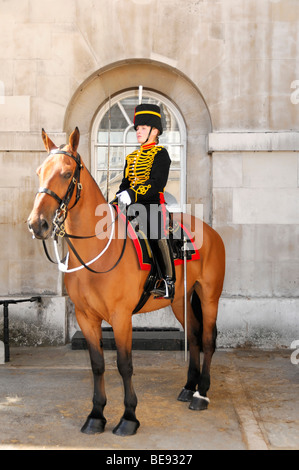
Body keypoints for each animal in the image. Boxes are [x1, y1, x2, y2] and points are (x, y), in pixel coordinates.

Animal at [27, 127, 225, 436]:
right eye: (39, 172)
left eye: (67, 173)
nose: (38, 224)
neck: (95, 252)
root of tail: (210, 231)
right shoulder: (86, 317)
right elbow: (97, 364)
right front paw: (96, 415)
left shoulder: (121, 317)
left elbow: (124, 364)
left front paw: (129, 417)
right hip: (180, 300)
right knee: (193, 336)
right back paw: (188, 387)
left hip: (209, 296)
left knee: (206, 339)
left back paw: (201, 393)